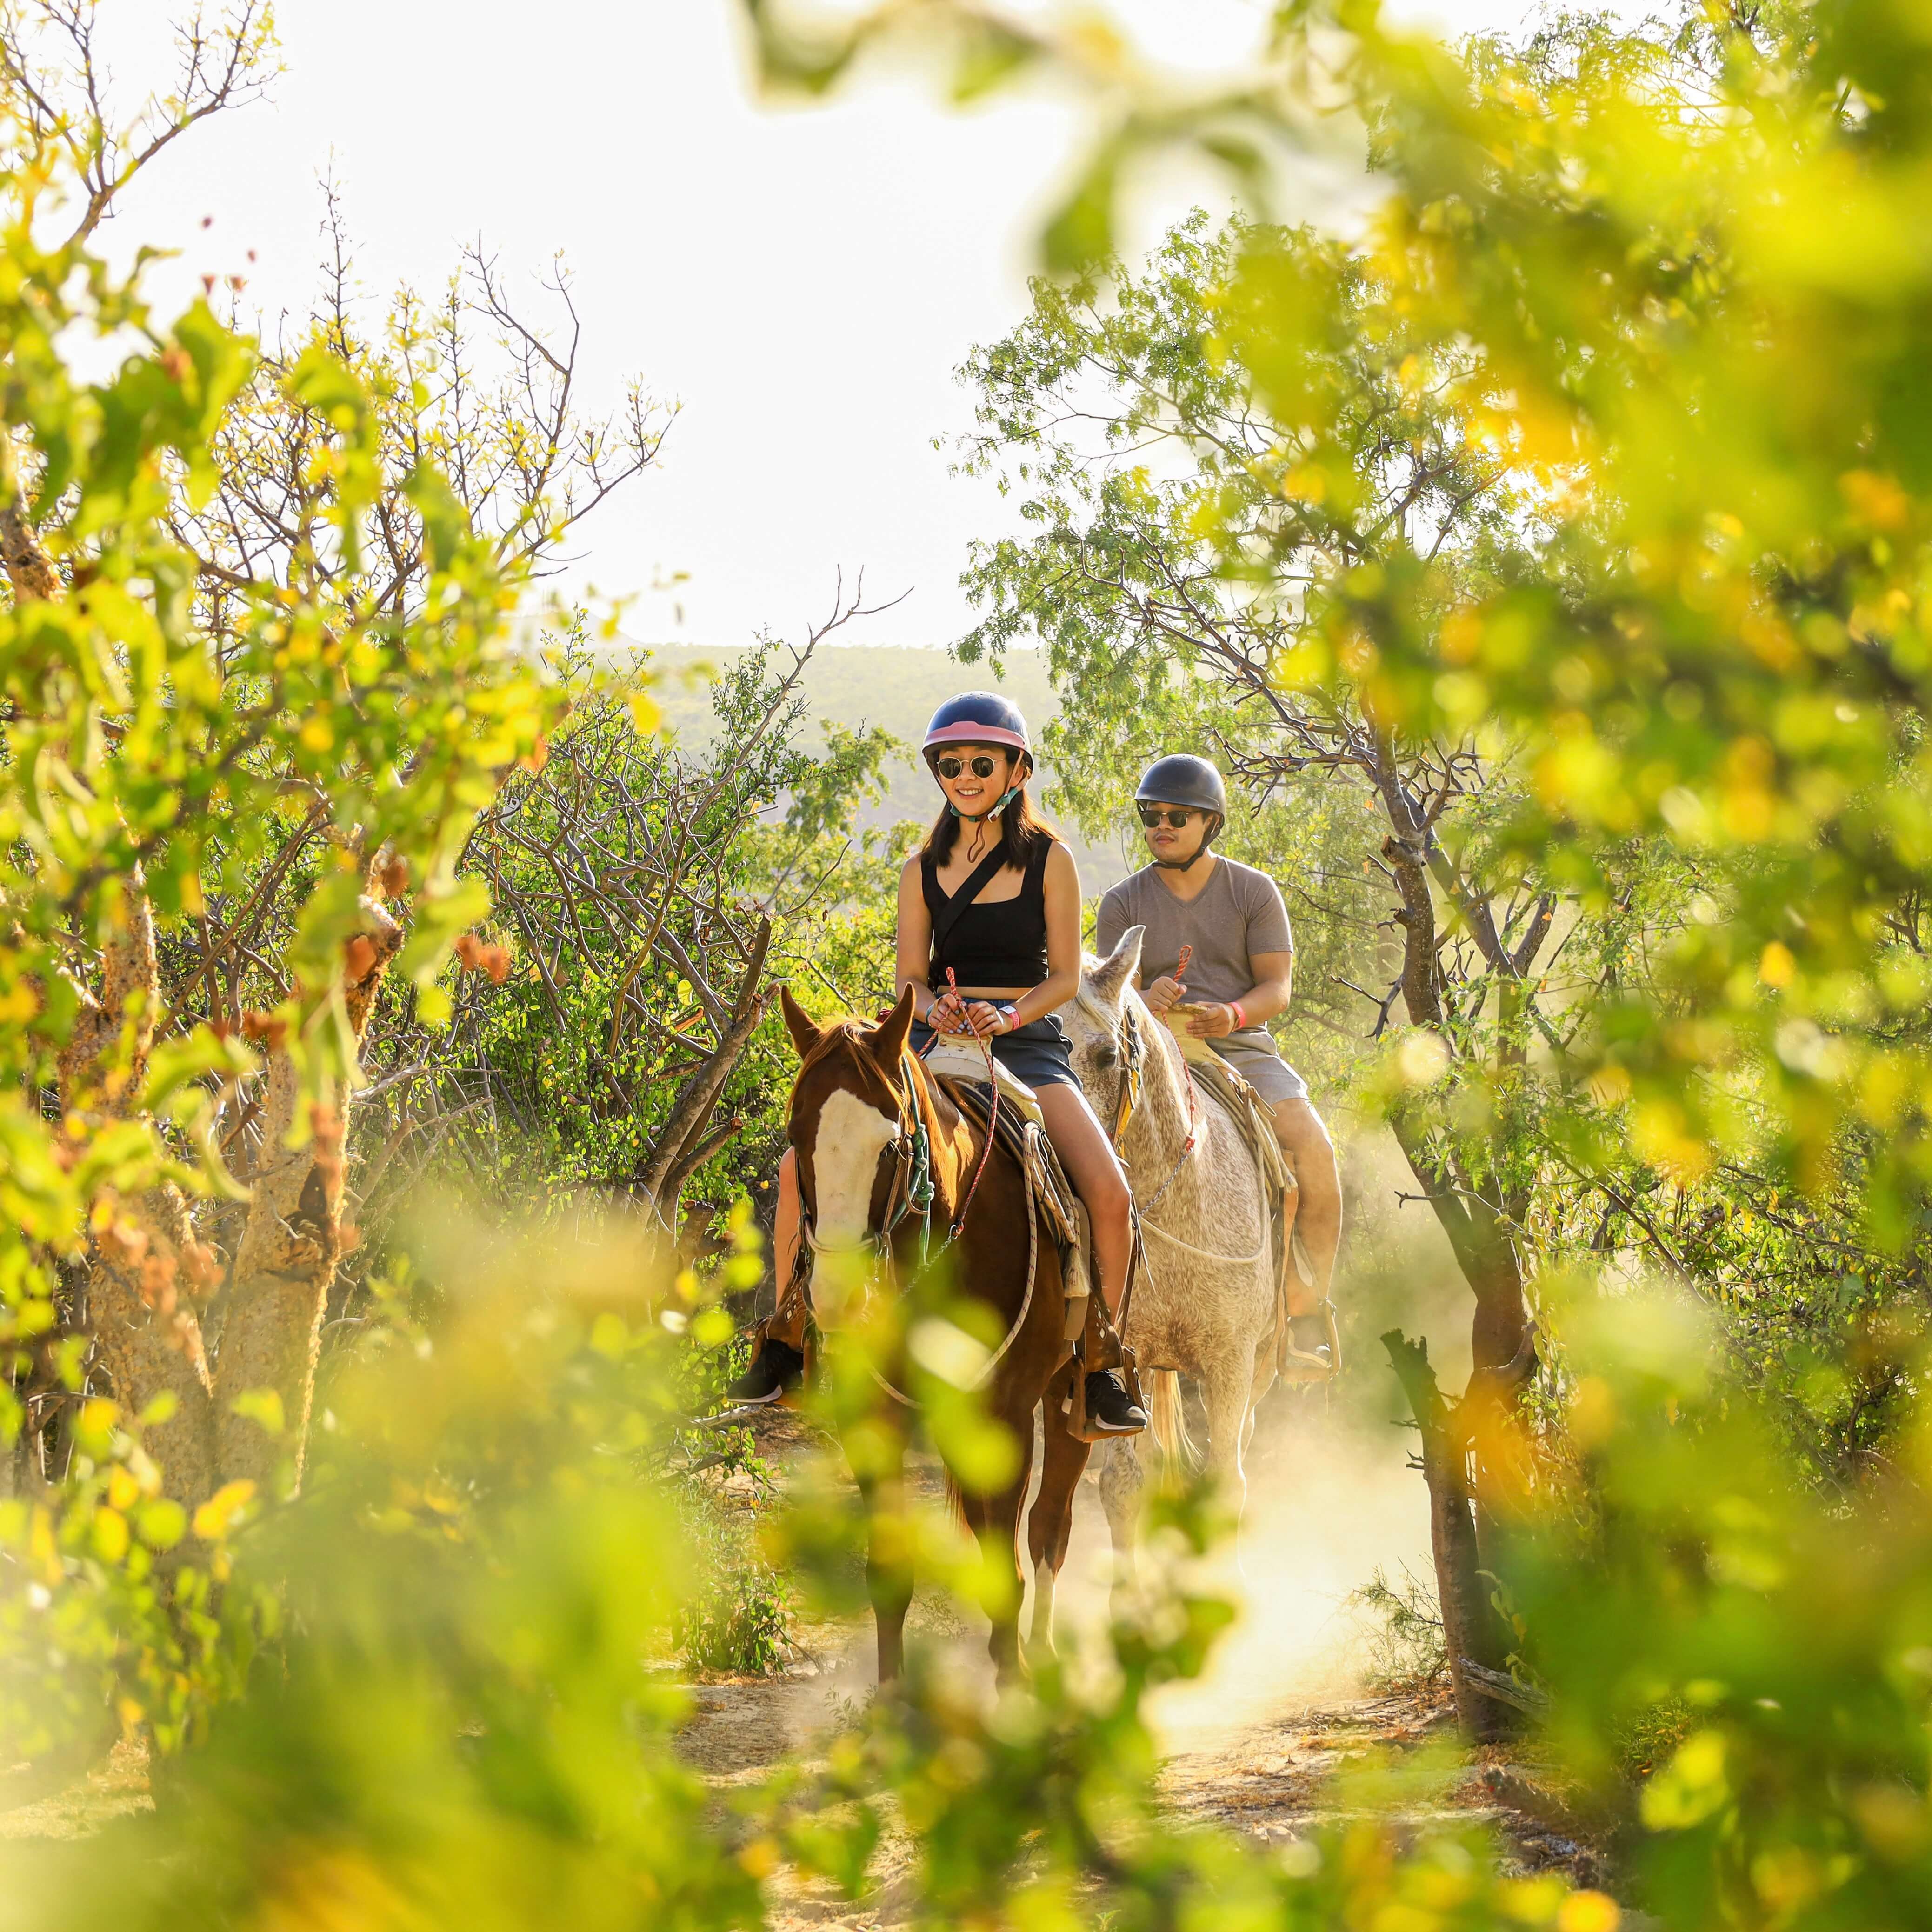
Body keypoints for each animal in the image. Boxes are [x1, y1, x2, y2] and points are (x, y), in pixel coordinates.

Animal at [780, 989, 1089, 1685]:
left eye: (891, 1147)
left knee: (1049, 1528)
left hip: (1068, 1400)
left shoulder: (1008, 1414)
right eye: (795, 1138)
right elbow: (890, 1573)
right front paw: (891, 1698)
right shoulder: (874, 1418)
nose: (838, 1297)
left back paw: (1042, 1652)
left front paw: (1012, 1689)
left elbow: (1010, 1567)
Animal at [1051, 927, 1290, 1607]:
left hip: (1261, 1364)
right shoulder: (1114, 1362)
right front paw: (1128, 1605)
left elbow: (1225, 1481)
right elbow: (1125, 1487)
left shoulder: (1230, 1364)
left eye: (1107, 1054)